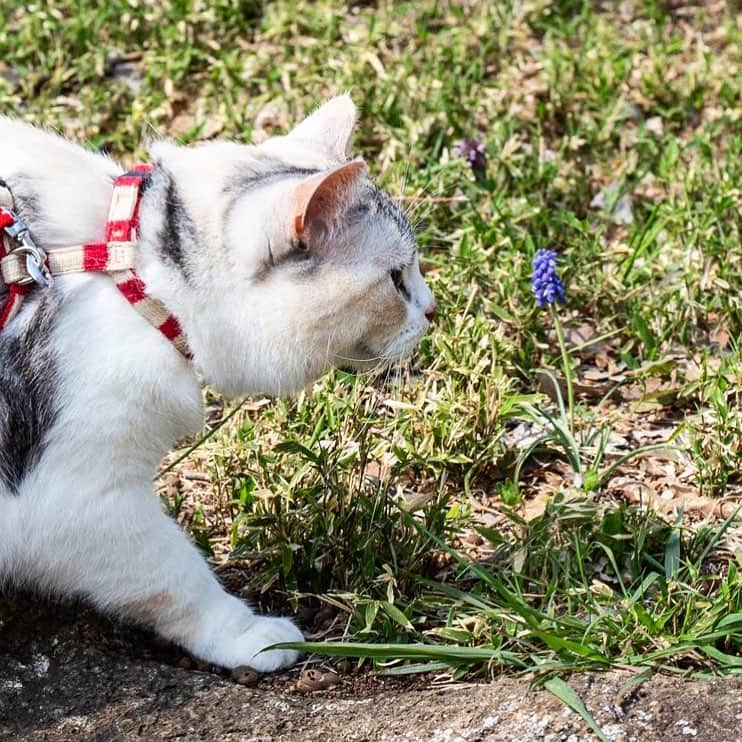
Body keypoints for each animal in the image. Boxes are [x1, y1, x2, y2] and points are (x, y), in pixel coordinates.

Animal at [0, 96, 436, 672]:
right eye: (395, 278)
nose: (432, 309)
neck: (136, 270)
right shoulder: (77, 496)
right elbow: (175, 576)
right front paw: (250, 637)